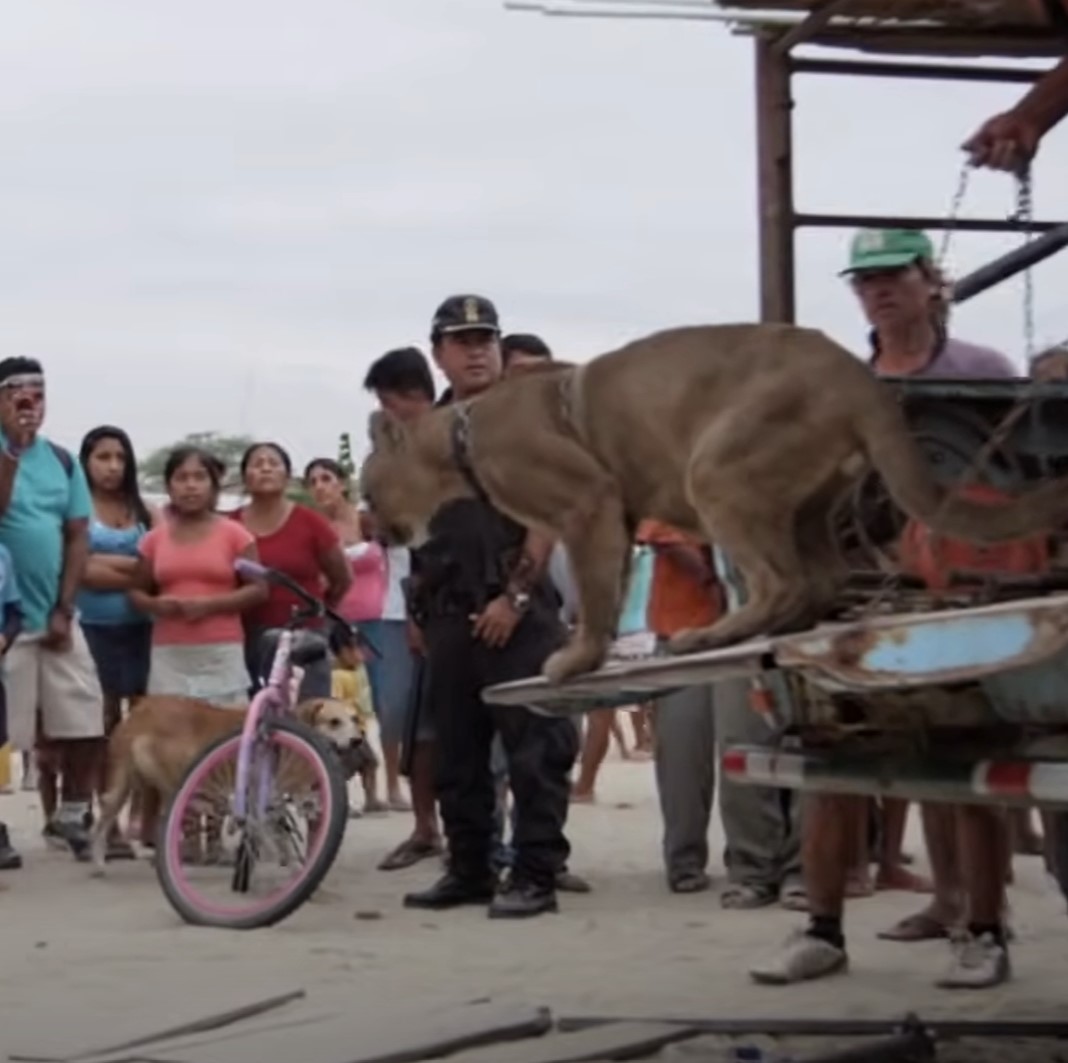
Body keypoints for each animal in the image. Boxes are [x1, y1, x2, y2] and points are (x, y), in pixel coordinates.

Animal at [91, 692, 358, 876]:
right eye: (334, 722)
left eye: (354, 719)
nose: (357, 741)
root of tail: (139, 713)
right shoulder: (269, 797)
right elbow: (279, 835)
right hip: (173, 782)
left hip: (127, 785)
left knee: (106, 822)